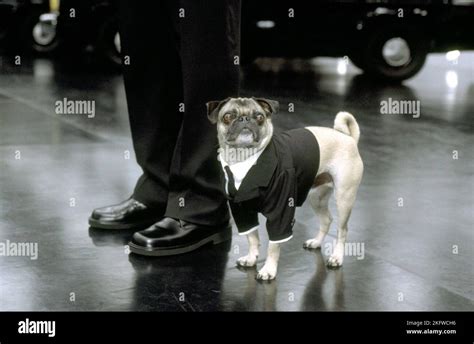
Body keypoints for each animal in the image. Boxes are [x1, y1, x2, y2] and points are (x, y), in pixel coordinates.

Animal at [206, 97, 364, 280]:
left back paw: (337, 257)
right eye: (228, 116)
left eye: (259, 117)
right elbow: (252, 237)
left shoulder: (280, 213)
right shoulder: (242, 210)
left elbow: (273, 246)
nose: (245, 119)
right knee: (326, 220)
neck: (243, 159)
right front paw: (252, 258)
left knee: (342, 230)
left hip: (344, 198)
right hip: (317, 198)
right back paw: (316, 242)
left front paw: (268, 270)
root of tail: (348, 138)